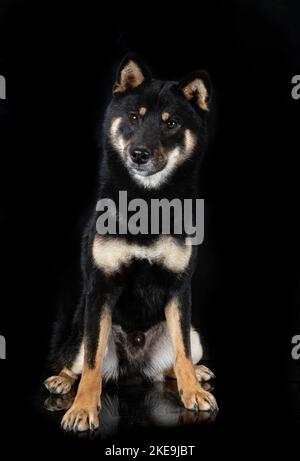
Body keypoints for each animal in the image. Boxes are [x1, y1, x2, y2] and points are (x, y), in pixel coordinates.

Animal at [44, 54, 218, 432]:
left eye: (171, 124)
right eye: (134, 117)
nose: (139, 154)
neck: (147, 204)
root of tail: (133, 367)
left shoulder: (179, 290)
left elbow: (182, 352)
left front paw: (193, 392)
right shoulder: (101, 289)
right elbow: (92, 365)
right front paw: (82, 409)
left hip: (195, 334)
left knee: (173, 364)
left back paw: (195, 375)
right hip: (80, 334)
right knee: (78, 362)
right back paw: (62, 380)